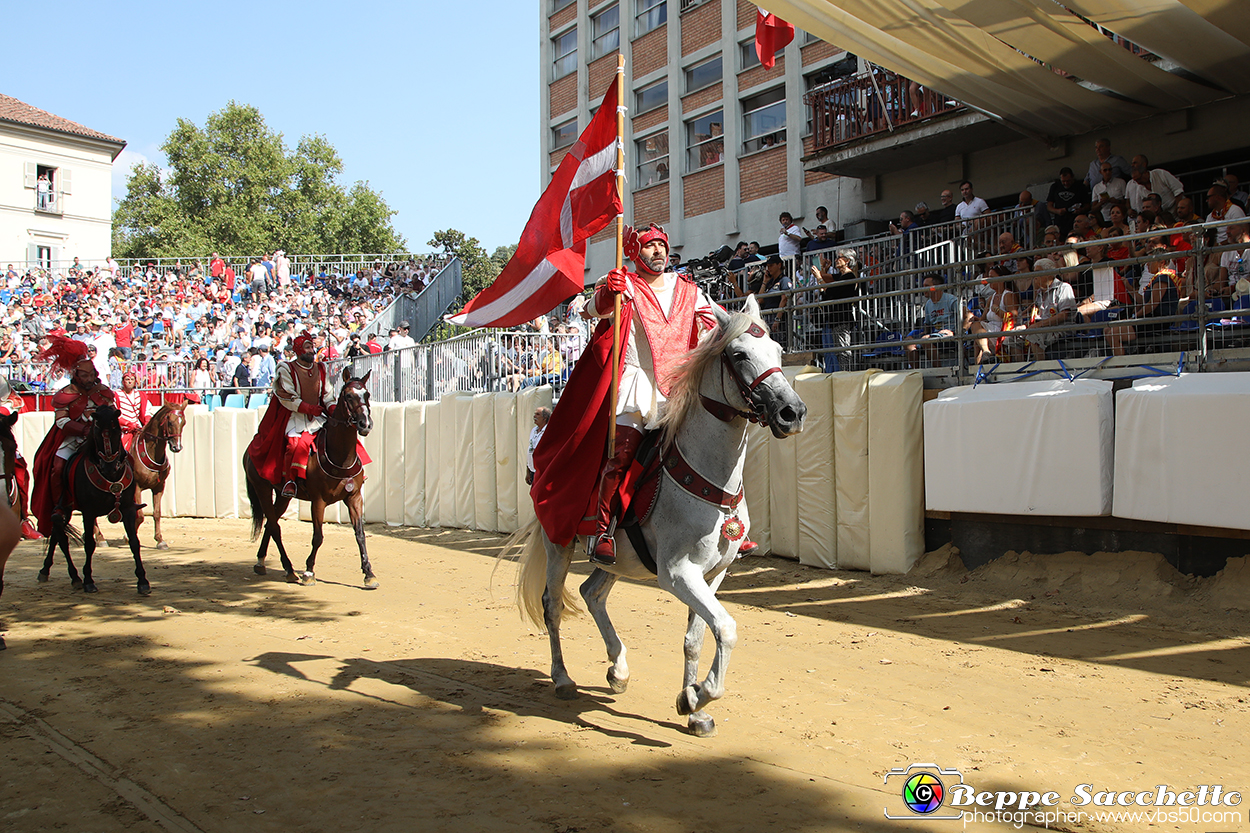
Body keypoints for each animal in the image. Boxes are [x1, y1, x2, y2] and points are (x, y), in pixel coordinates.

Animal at [37, 405, 148, 592]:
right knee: (60, 535)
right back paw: (71, 576)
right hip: (65, 508)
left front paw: (142, 581)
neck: (110, 478)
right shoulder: (88, 513)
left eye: (116, 429)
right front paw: (88, 580)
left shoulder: (128, 509)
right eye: (96, 431)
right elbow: (89, 544)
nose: (109, 466)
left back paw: (49, 571)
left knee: (56, 535)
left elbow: (134, 542)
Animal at [130, 400, 187, 547]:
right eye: (170, 422)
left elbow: (156, 513)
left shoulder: (159, 487)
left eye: (183, 422)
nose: (177, 447)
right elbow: (140, 516)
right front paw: (129, 537)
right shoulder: (136, 487)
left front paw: (160, 540)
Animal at [242, 367, 375, 587]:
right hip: (262, 490)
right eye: (348, 396)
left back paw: (261, 561)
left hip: (282, 496)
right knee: (274, 526)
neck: (339, 454)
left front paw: (369, 573)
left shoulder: (354, 497)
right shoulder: (318, 501)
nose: (365, 424)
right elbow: (318, 537)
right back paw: (289, 569)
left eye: (367, 394)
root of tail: (250, 449)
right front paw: (309, 571)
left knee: (271, 524)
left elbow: (360, 534)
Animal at [512, 293, 805, 735]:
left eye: (778, 351)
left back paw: (618, 670)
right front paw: (700, 695)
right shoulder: (678, 573)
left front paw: (693, 707)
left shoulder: (713, 574)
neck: (708, 477)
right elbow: (726, 628)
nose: (792, 412)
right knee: (553, 604)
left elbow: (697, 637)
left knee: (592, 593)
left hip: (618, 559)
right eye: (738, 354)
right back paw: (562, 679)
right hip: (558, 544)